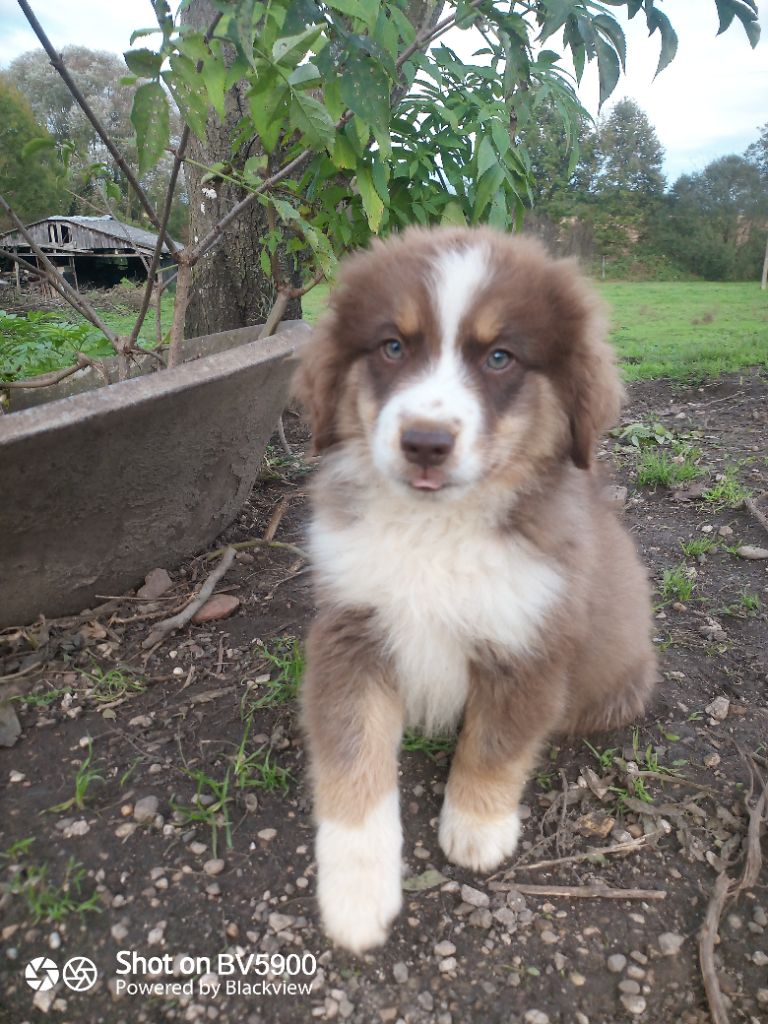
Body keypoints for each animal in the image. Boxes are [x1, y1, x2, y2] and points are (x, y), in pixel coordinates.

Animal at [292, 224, 655, 950]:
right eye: (393, 346)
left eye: (500, 358)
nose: (425, 442)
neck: (437, 528)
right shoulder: (351, 631)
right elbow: (352, 758)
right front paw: (354, 897)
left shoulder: (530, 643)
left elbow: (496, 744)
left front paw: (476, 827)